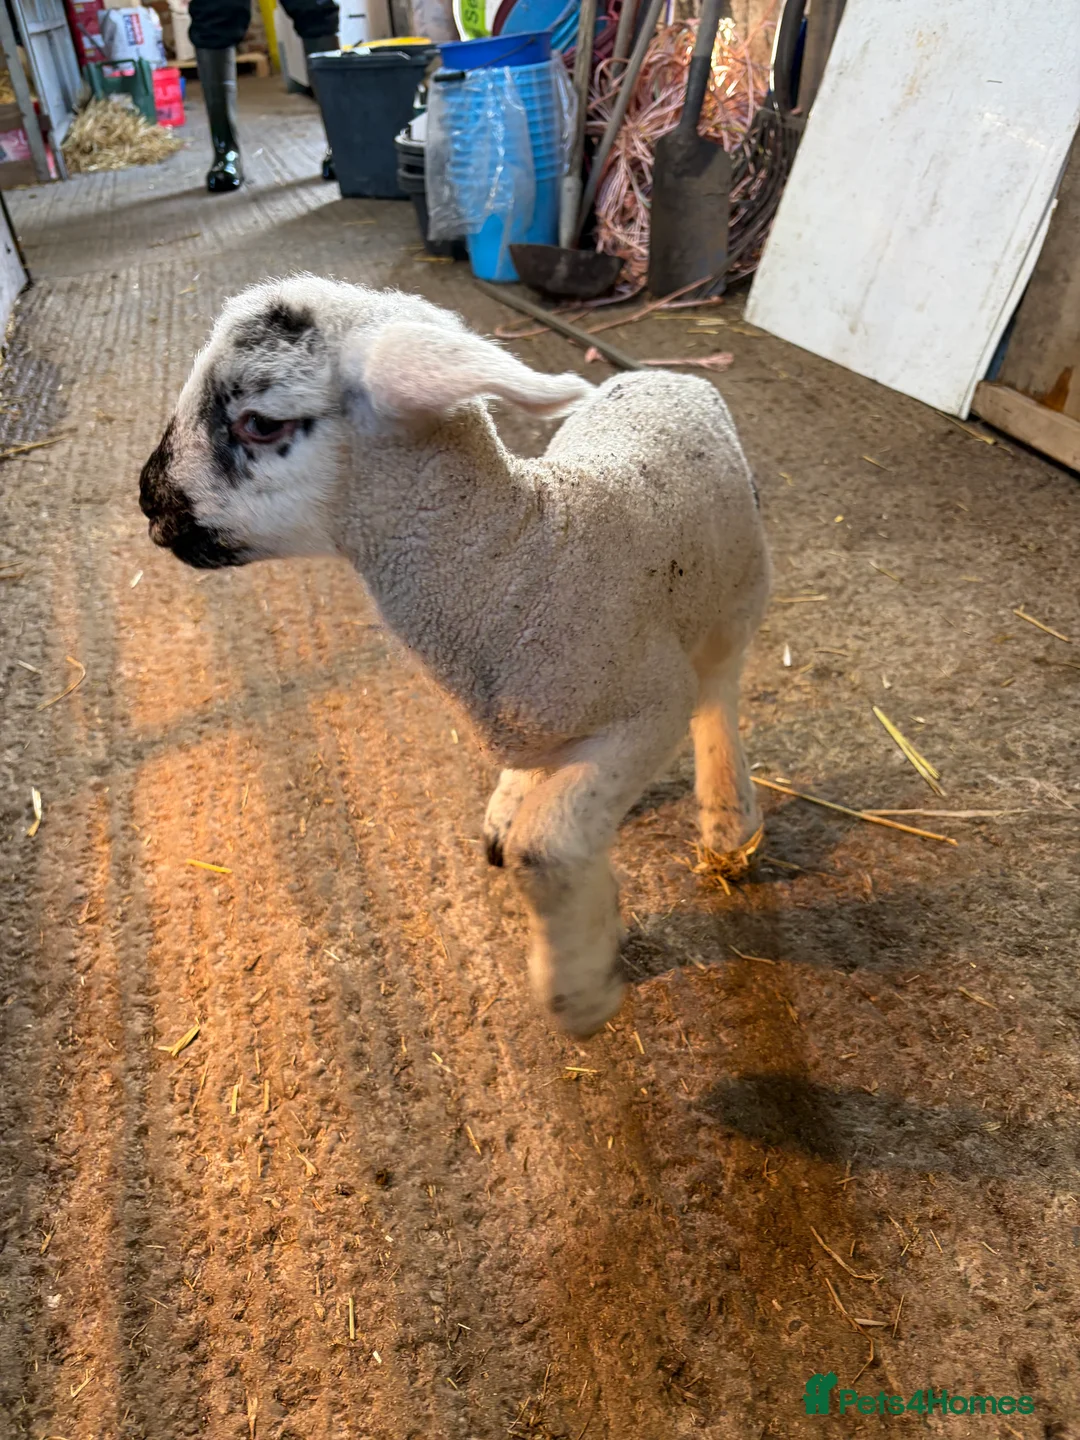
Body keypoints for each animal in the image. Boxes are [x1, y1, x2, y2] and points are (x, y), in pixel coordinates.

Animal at [140, 276, 771, 1036]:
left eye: (260, 423)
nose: (148, 500)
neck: (525, 552)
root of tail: (663, 374)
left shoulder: (649, 706)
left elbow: (546, 847)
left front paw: (581, 993)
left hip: (736, 593)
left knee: (719, 691)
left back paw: (729, 820)